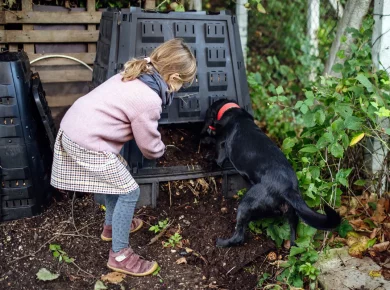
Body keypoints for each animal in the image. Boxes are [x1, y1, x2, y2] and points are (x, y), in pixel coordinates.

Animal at [203, 99, 340, 247]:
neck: (234, 112)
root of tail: (288, 189)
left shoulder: (221, 148)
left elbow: (216, 157)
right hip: (292, 215)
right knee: (293, 240)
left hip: (246, 204)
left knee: (239, 236)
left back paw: (221, 242)